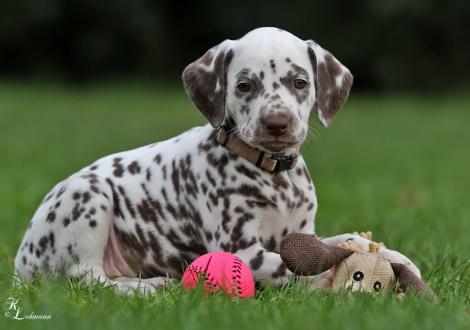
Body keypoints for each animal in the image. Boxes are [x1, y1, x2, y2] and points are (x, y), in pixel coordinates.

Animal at [13, 26, 418, 294]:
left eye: (300, 83)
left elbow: (349, 241)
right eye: (245, 86)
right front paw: (330, 281)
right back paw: (148, 286)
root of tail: (21, 264)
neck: (273, 175)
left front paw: (399, 261)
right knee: (87, 279)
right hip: (89, 198)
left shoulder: (302, 233)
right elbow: (292, 266)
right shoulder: (242, 250)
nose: (277, 123)